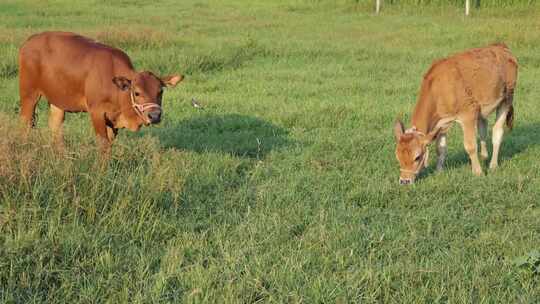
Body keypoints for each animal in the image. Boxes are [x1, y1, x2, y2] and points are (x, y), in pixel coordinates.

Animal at [19, 31, 184, 152]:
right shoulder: (96, 112)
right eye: (137, 92)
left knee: (56, 127)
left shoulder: (113, 121)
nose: (155, 115)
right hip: (29, 94)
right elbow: (103, 144)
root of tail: (30, 40)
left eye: (160, 91)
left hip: (58, 99)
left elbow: (110, 143)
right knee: (26, 123)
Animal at [394, 43, 516, 184]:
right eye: (398, 157)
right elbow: (440, 148)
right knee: (483, 129)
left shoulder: (467, 115)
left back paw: (493, 165)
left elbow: (470, 146)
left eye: (417, 157)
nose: (404, 181)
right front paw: (438, 171)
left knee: (497, 132)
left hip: (507, 98)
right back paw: (484, 156)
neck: (439, 88)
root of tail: (500, 46)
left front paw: (478, 172)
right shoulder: (441, 123)